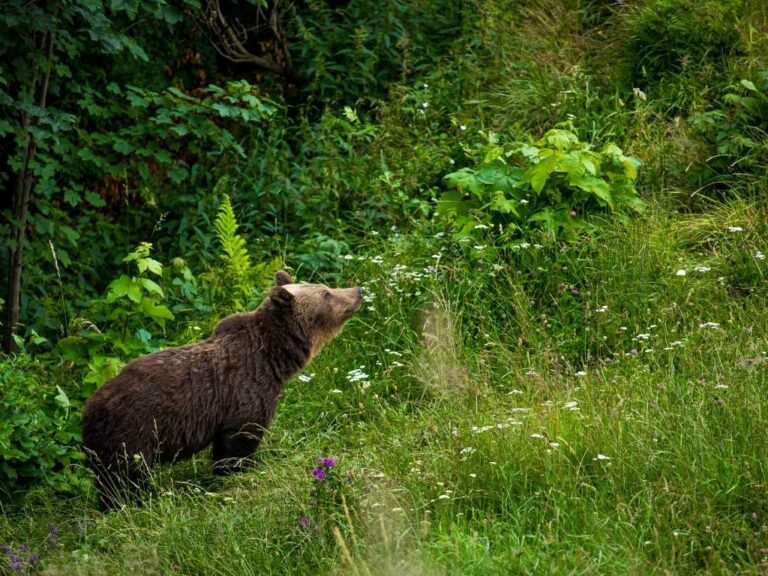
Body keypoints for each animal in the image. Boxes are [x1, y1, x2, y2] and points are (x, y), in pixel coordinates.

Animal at [81, 270, 362, 506]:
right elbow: (238, 443)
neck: (272, 359)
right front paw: (235, 474)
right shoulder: (244, 395)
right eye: (326, 293)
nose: (358, 290)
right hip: (134, 432)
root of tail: (89, 408)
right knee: (125, 479)